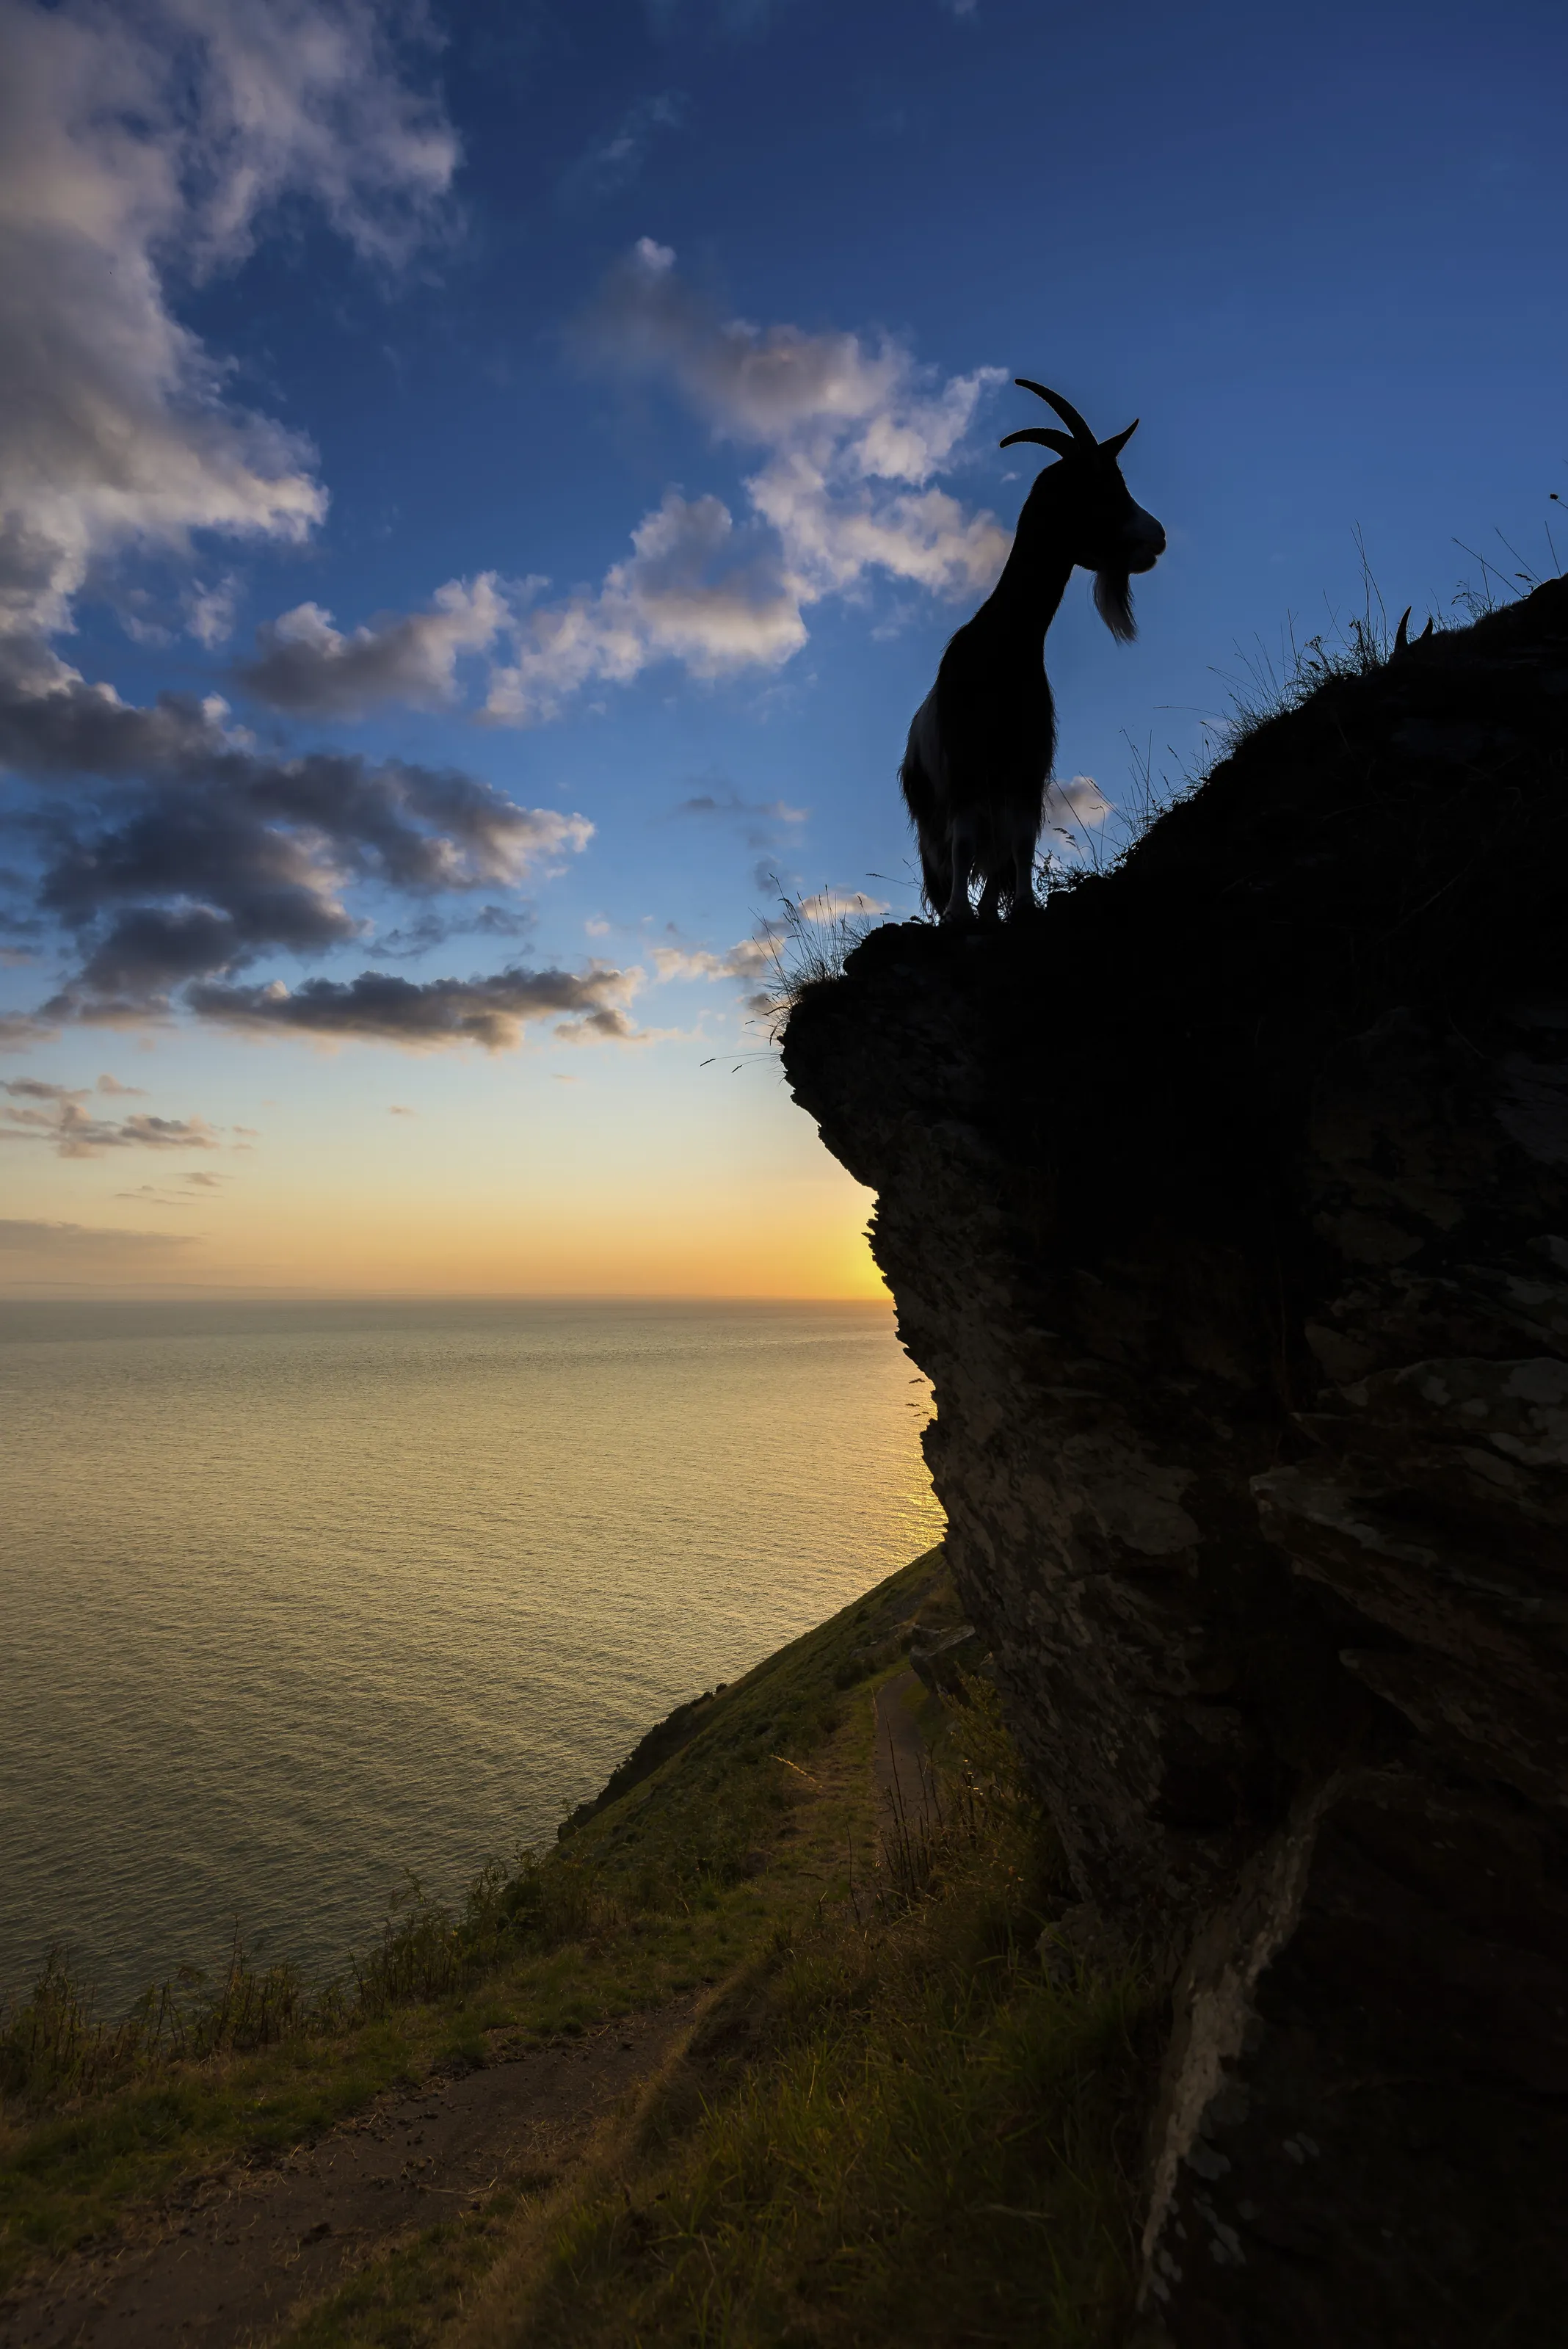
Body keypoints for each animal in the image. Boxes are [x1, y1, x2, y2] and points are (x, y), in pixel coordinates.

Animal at [900, 379, 1165, 923]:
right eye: (1098, 485)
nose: (1158, 536)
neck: (1006, 645)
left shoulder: (1027, 767)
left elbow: (1021, 843)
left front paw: (1023, 905)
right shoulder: (966, 767)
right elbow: (962, 845)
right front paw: (959, 915)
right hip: (932, 815)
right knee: (948, 859)